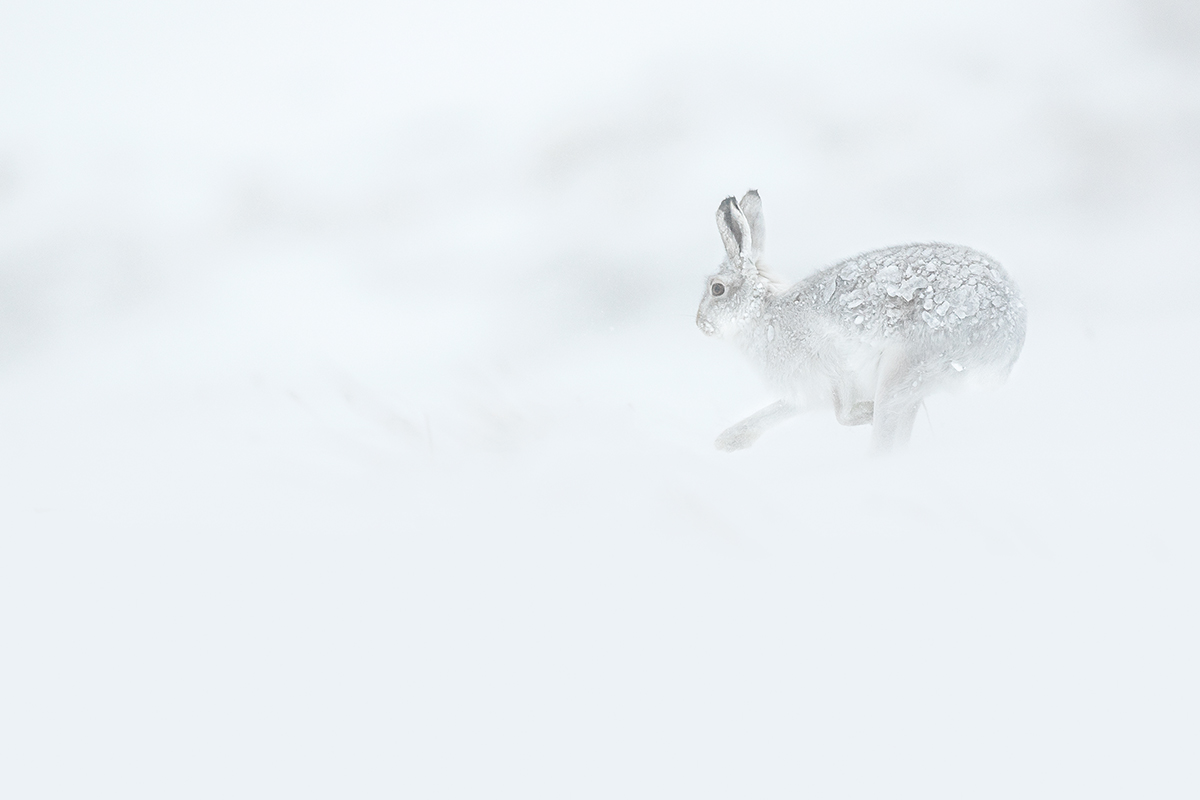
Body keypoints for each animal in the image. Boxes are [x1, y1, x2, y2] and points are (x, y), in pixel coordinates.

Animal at [696, 190, 1026, 452]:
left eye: (717, 289)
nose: (700, 324)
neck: (763, 313)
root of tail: (1010, 335)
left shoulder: (831, 364)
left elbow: (841, 414)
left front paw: (865, 413)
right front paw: (728, 441)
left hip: (907, 370)